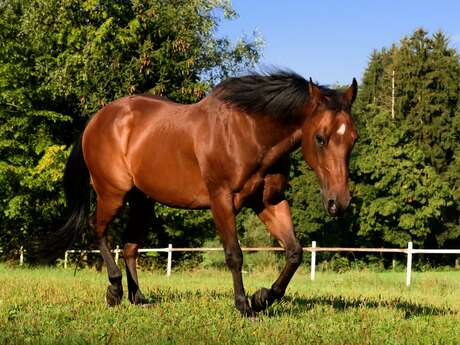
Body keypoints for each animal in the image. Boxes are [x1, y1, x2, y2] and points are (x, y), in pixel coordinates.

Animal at [51, 71, 360, 316]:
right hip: (112, 193)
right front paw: (244, 305)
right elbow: (234, 254)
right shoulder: (221, 200)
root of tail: (96, 120)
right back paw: (114, 290)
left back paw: (138, 297)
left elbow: (294, 252)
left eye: (353, 139)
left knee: (129, 246)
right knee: (97, 229)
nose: (339, 202)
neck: (250, 133)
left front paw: (262, 298)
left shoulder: (269, 202)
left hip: (143, 201)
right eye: (320, 138)